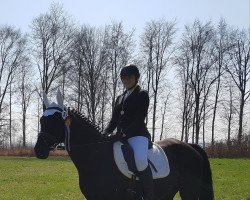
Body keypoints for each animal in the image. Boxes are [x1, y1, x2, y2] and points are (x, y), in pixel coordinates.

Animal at [34, 91, 214, 200]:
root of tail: (190, 146)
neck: (95, 155)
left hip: (188, 190)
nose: (39, 150)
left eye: (56, 121)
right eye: (42, 120)